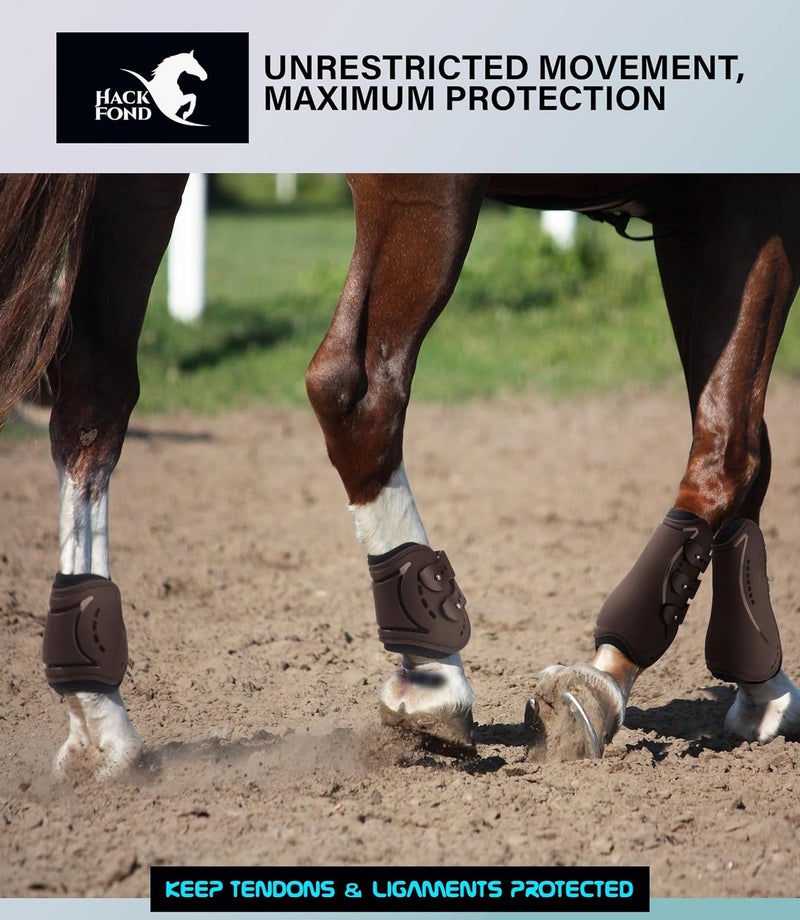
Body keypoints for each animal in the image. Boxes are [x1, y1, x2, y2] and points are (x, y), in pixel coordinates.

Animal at [1, 174, 799, 780]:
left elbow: (742, 447)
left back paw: (98, 714)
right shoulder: (751, 204)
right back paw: (433, 671)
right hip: (427, 190)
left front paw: (759, 682)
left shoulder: (695, 216)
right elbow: (731, 450)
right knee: (356, 389)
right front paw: (609, 678)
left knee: (92, 399)